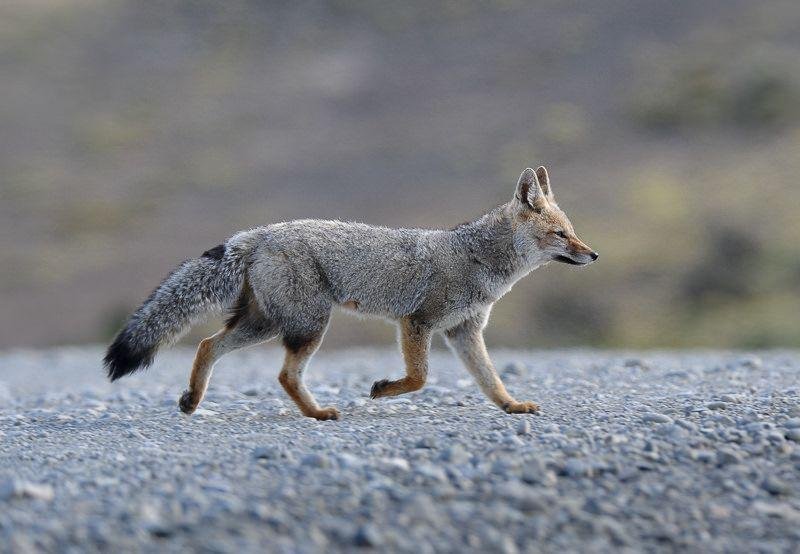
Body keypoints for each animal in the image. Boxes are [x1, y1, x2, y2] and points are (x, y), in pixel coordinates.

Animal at [104, 166, 597, 420]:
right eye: (561, 234)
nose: (593, 254)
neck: (476, 257)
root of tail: (256, 233)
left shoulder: (464, 332)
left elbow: (490, 379)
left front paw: (512, 406)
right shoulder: (417, 322)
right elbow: (420, 377)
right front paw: (381, 390)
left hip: (267, 324)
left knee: (208, 344)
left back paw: (192, 401)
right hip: (307, 325)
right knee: (284, 374)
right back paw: (318, 414)